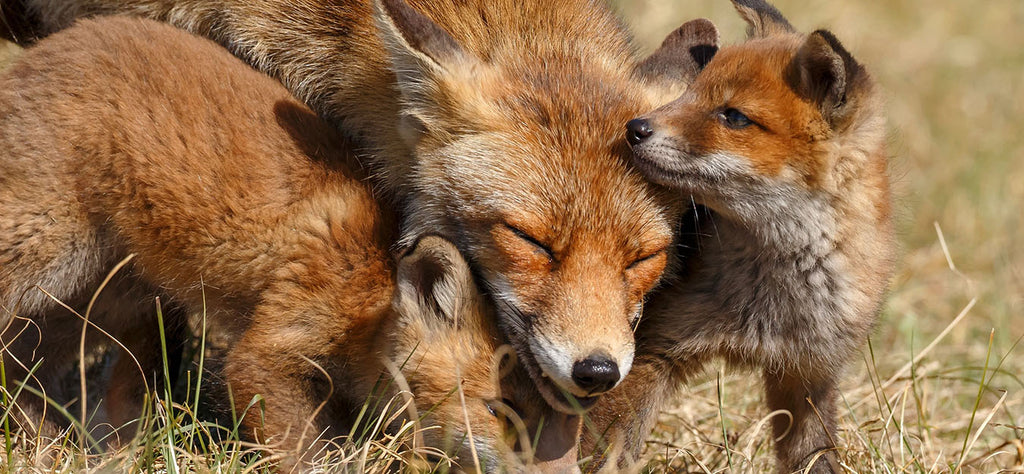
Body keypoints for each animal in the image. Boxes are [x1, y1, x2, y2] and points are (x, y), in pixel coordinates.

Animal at [0, 16, 582, 471]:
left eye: (564, 428)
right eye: (500, 411)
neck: (372, 289)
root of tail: (40, 52)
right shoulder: (267, 351)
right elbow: (306, 453)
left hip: (103, 302)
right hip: (42, 253)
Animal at [583, 0, 896, 472]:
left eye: (733, 116)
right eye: (690, 93)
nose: (634, 128)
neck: (773, 302)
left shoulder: (810, 374)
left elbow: (815, 457)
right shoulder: (650, 350)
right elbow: (605, 451)